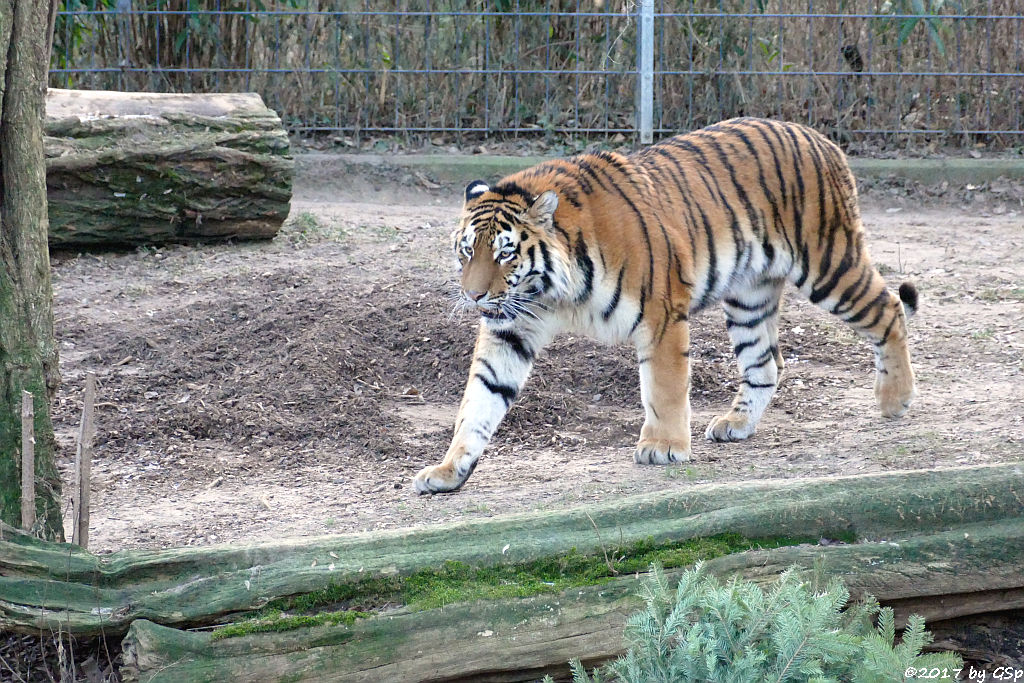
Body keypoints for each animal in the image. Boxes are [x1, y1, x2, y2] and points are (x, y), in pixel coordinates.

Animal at [411, 116, 917, 491]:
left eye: (505, 253)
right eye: (466, 251)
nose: (473, 295)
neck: (551, 291)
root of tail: (823, 140)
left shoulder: (662, 312)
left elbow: (664, 387)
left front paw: (664, 446)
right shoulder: (510, 330)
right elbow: (479, 400)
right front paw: (448, 470)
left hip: (828, 264)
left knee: (889, 309)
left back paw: (895, 399)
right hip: (749, 297)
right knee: (766, 364)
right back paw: (736, 424)